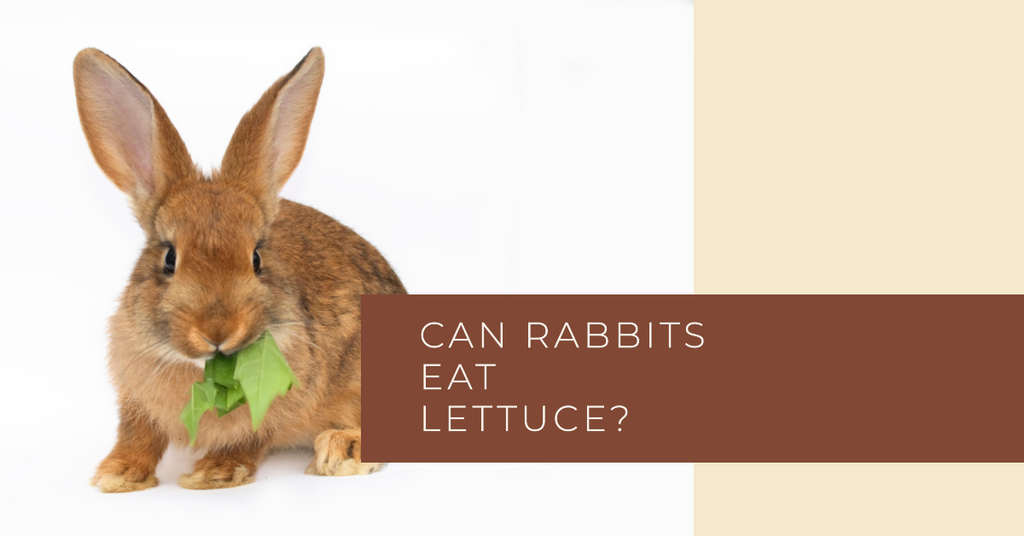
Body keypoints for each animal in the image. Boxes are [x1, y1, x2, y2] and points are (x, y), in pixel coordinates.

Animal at [73, 47, 406, 492]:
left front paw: (214, 473)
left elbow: (248, 437)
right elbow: (137, 434)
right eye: (169, 258)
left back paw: (342, 450)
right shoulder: (135, 397)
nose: (218, 330)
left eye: (256, 258)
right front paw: (117, 475)